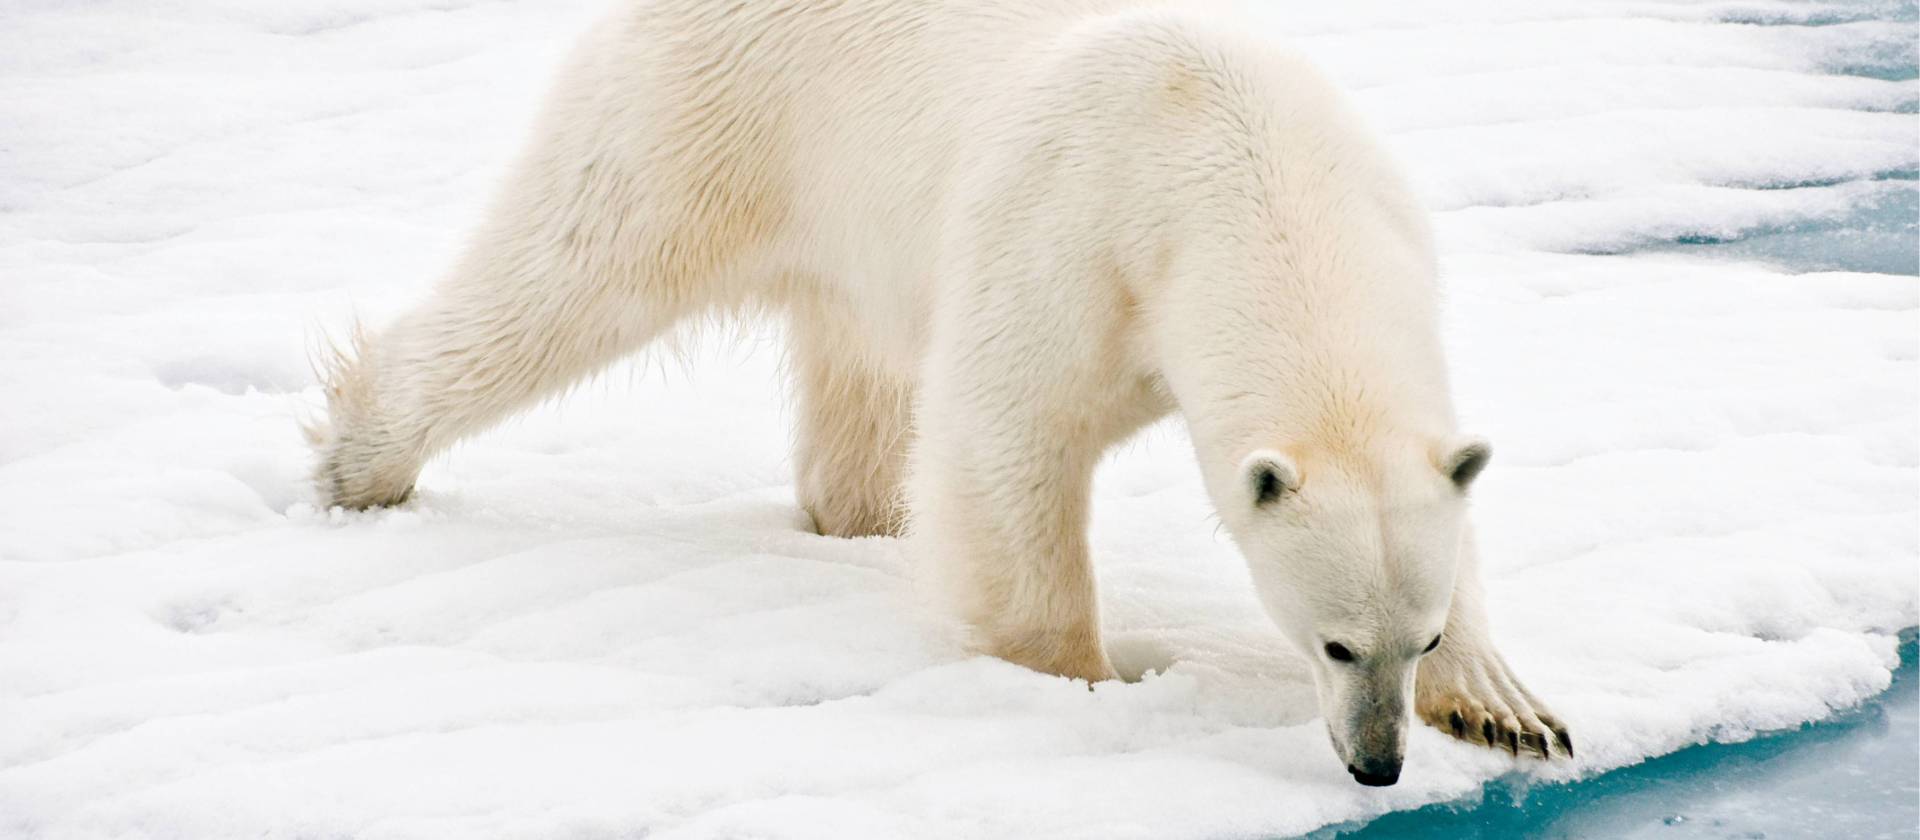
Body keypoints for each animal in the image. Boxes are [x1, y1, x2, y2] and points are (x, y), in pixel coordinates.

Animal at [307, 0, 1571, 785]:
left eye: (1419, 636)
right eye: (1334, 646)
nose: (1378, 764)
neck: (1244, 166)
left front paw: (1510, 709)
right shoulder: (1079, 230)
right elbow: (1007, 436)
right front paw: (1080, 680)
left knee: (855, 381)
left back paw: (860, 514)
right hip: (706, 116)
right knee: (567, 277)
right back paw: (361, 459)